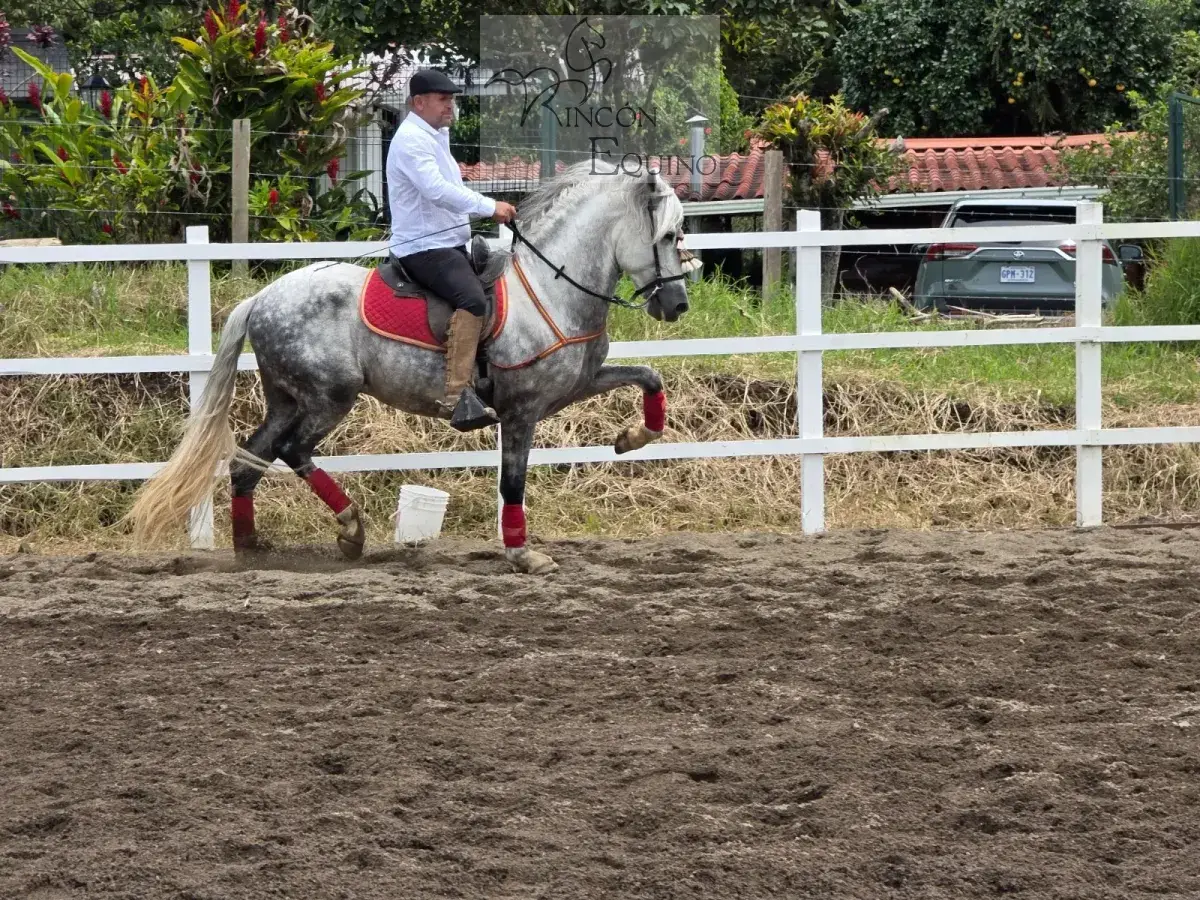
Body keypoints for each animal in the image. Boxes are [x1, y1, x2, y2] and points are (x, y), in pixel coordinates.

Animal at [126, 160, 695, 574]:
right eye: (670, 236)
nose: (678, 305)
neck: (551, 288)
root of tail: (262, 298)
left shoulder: (574, 385)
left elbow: (650, 376)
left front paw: (632, 438)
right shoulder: (521, 410)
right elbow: (513, 484)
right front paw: (522, 554)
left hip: (287, 400)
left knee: (249, 463)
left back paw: (250, 549)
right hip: (329, 398)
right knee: (293, 451)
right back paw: (350, 529)